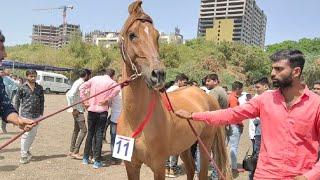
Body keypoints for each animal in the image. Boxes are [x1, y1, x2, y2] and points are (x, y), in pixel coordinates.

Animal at [117, 0, 230, 179]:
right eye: (132, 35)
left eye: (157, 36)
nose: (158, 74)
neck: (135, 119)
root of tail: (208, 97)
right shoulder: (131, 165)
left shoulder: (158, 166)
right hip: (184, 146)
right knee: (190, 168)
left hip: (204, 144)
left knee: (201, 172)